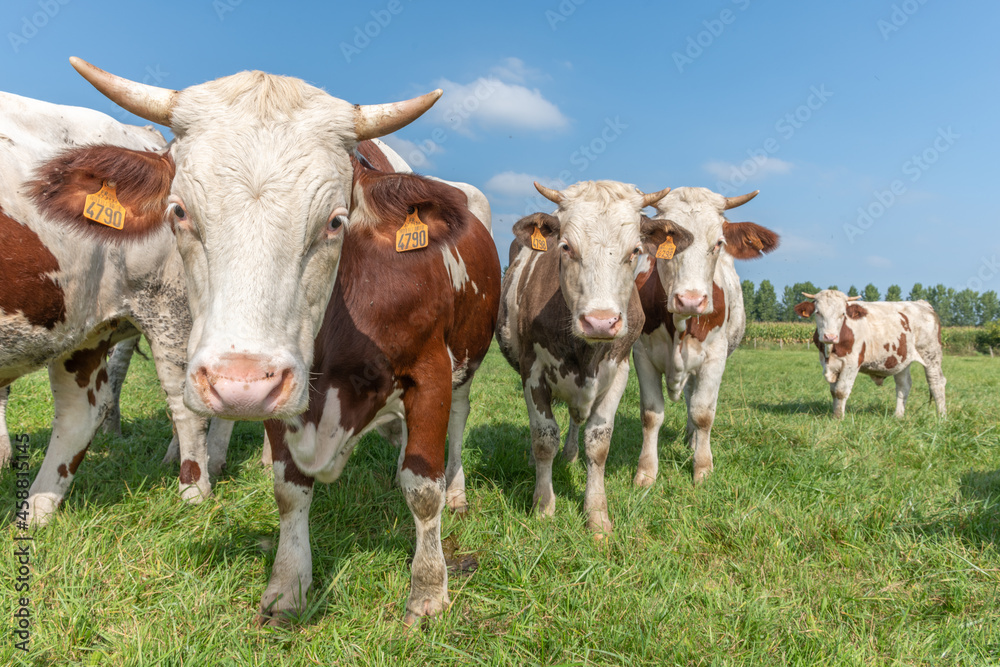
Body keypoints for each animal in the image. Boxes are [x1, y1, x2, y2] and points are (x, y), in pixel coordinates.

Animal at [0, 90, 230, 528]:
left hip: (167, 308)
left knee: (184, 406)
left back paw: (194, 492)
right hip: (78, 323)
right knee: (81, 412)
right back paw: (35, 512)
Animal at [60, 58, 498, 628]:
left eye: (335, 220)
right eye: (179, 212)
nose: (238, 384)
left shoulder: (430, 373)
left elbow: (423, 488)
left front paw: (428, 592)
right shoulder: (280, 391)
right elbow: (289, 491)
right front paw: (288, 586)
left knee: (457, 428)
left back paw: (458, 491)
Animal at [496, 180, 692, 536]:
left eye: (635, 251)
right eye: (565, 247)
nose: (600, 321)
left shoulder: (619, 370)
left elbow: (598, 442)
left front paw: (597, 515)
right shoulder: (532, 370)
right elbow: (543, 436)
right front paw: (543, 505)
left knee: (576, 418)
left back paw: (571, 454)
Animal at [632, 187, 780, 486]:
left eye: (718, 243)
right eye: (671, 244)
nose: (691, 300)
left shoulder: (714, 357)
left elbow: (702, 413)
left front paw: (702, 468)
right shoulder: (642, 355)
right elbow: (651, 414)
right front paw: (646, 472)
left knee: (694, 400)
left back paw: (692, 441)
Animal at [792, 290, 948, 418]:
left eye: (842, 314)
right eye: (818, 312)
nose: (830, 336)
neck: (830, 351)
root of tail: (921, 303)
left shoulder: (852, 363)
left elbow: (841, 391)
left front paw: (838, 419)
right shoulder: (828, 363)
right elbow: (834, 392)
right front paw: (835, 415)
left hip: (931, 355)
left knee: (936, 383)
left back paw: (941, 417)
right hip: (901, 359)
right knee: (903, 385)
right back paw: (898, 416)